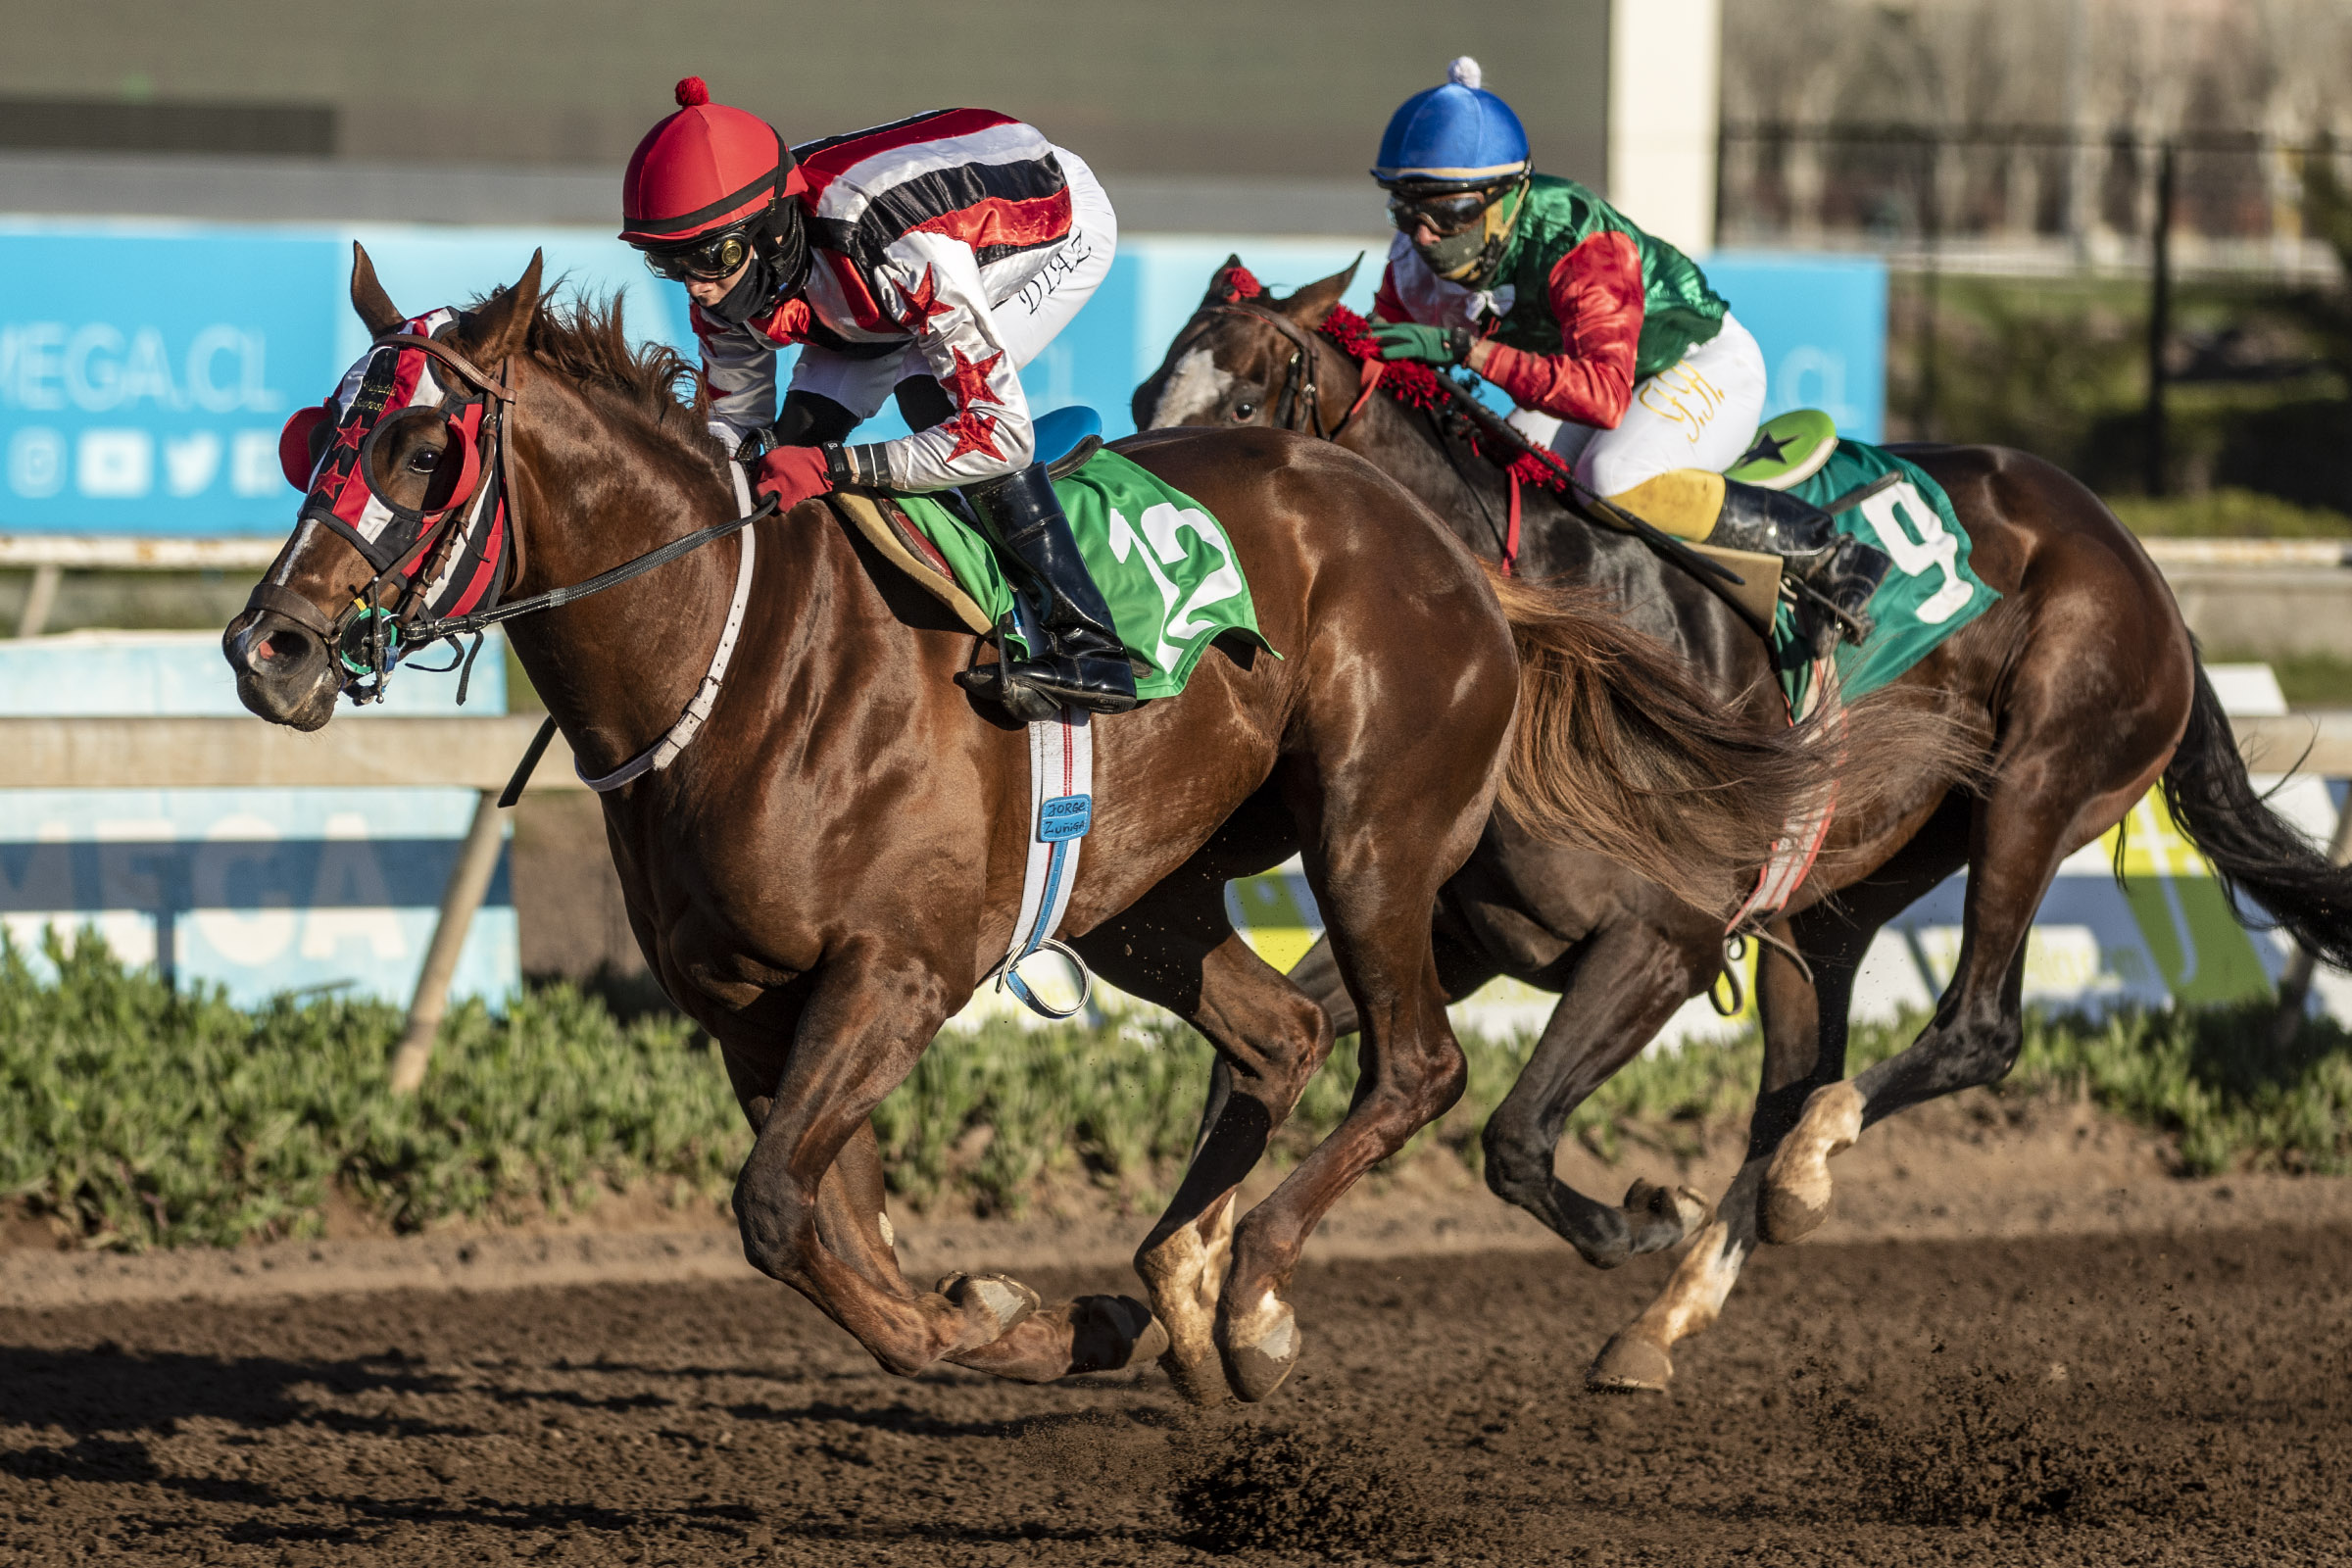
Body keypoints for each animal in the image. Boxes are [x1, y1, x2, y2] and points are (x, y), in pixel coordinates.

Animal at [224, 246, 1839, 1408]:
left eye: (423, 448)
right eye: (319, 435)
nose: (267, 649)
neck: (740, 660)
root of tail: (1445, 546)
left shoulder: (898, 972)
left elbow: (778, 1212)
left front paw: (1032, 1326)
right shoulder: (748, 1013)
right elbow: (828, 1223)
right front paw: (1031, 1313)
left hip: (1373, 837)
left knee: (1418, 1065)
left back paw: (1256, 1301)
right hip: (1146, 893)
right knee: (1278, 1039)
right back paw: (1184, 1284)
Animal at [1134, 257, 2352, 1392]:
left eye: (1243, 401)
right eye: (1149, 391)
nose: (1166, 521)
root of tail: (2141, 563)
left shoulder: (1658, 942)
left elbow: (1514, 1138)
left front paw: (1641, 1214)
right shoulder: (1463, 933)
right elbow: (1257, 1062)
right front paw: (1190, 1299)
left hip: (2042, 777)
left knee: (1972, 1030)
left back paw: (1808, 1171)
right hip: (1840, 894)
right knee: (1791, 1086)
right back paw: (1669, 1314)